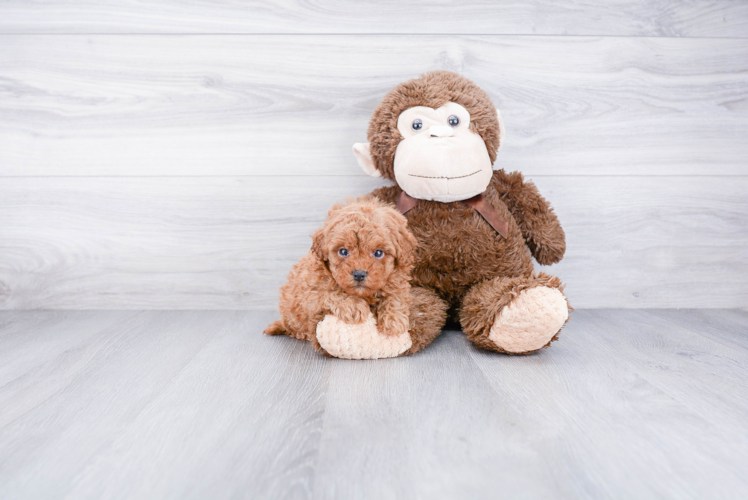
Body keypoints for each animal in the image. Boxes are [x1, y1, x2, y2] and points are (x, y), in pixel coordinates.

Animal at [264, 196, 418, 348]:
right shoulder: (309, 293)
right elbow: (330, 293)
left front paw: (394, 320)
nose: (359, 274)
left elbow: (395, 296)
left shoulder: (397, 280)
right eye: (343, 251)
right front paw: (354, 305)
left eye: (378, 253)